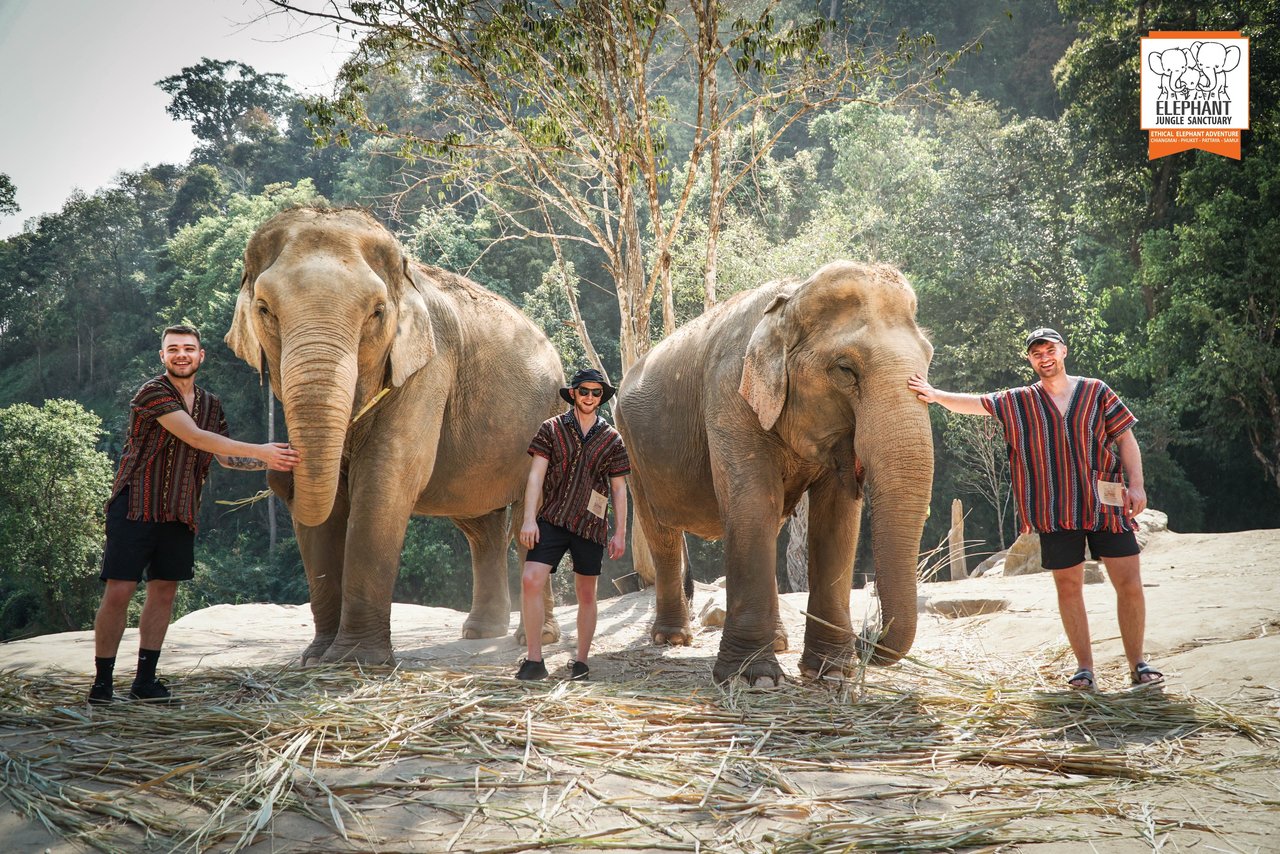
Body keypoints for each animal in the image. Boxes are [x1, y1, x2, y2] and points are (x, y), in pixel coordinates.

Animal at [226, 207, 565, 665]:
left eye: (377, 312)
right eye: (264, 309)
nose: (279, 473)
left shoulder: (430, 367)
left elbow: (385, 479)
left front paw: (355, 660)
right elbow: (329, 505)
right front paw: (316, 658)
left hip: (550, 416)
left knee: (528, 517)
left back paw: (535, 638)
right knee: (481, 526)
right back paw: (480, 633)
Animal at [614, 261, 936, 686]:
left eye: (928, 360)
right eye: (845, 369)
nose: (867, 635)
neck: (791, 299)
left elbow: (836, 519)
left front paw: (832, 672)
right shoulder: (728, 395)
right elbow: (753, 504)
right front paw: (753, 678)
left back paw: (780, 643)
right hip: (633, 448)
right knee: (661, 532)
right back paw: (673, 639)